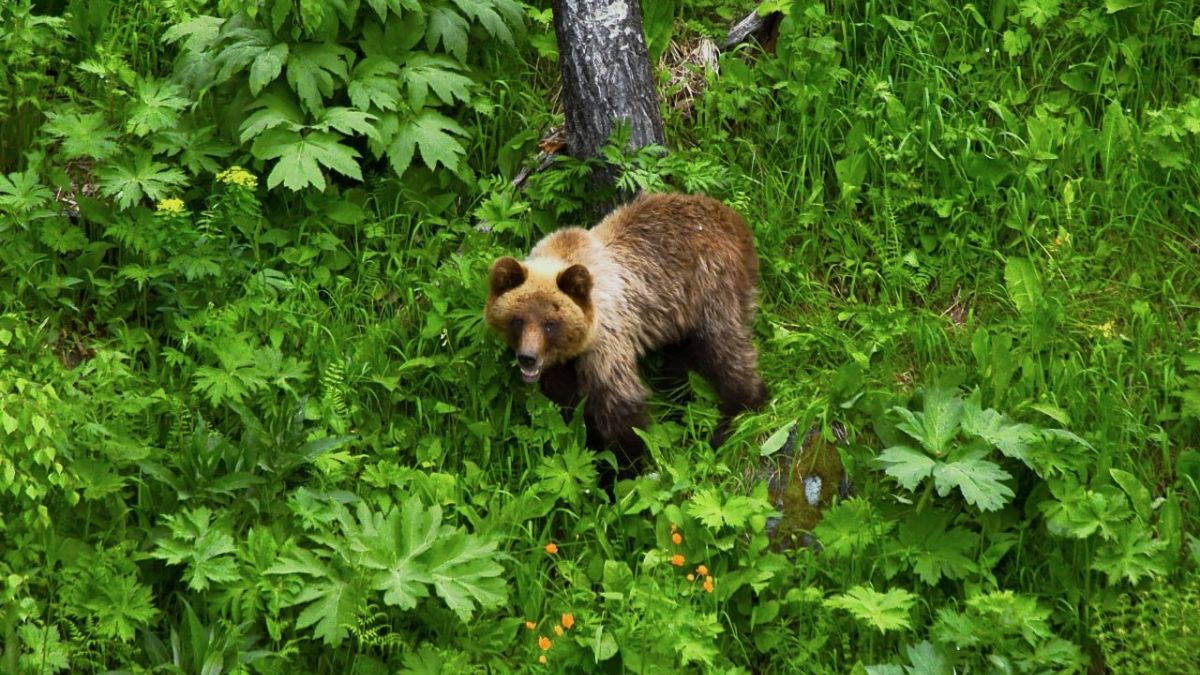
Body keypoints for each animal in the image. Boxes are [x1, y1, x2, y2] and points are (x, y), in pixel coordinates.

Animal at [482, 192, 763, 480]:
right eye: (518, 320)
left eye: (550, 324)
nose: (527, 358)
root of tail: (735, 219)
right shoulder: (560, 367)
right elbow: (568, 407)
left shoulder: (607, 342)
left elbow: (621, 408)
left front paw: (622, 471)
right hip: (679, 316)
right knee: (680, 363)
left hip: (712, 286)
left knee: (725, 349)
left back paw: (737, 414)